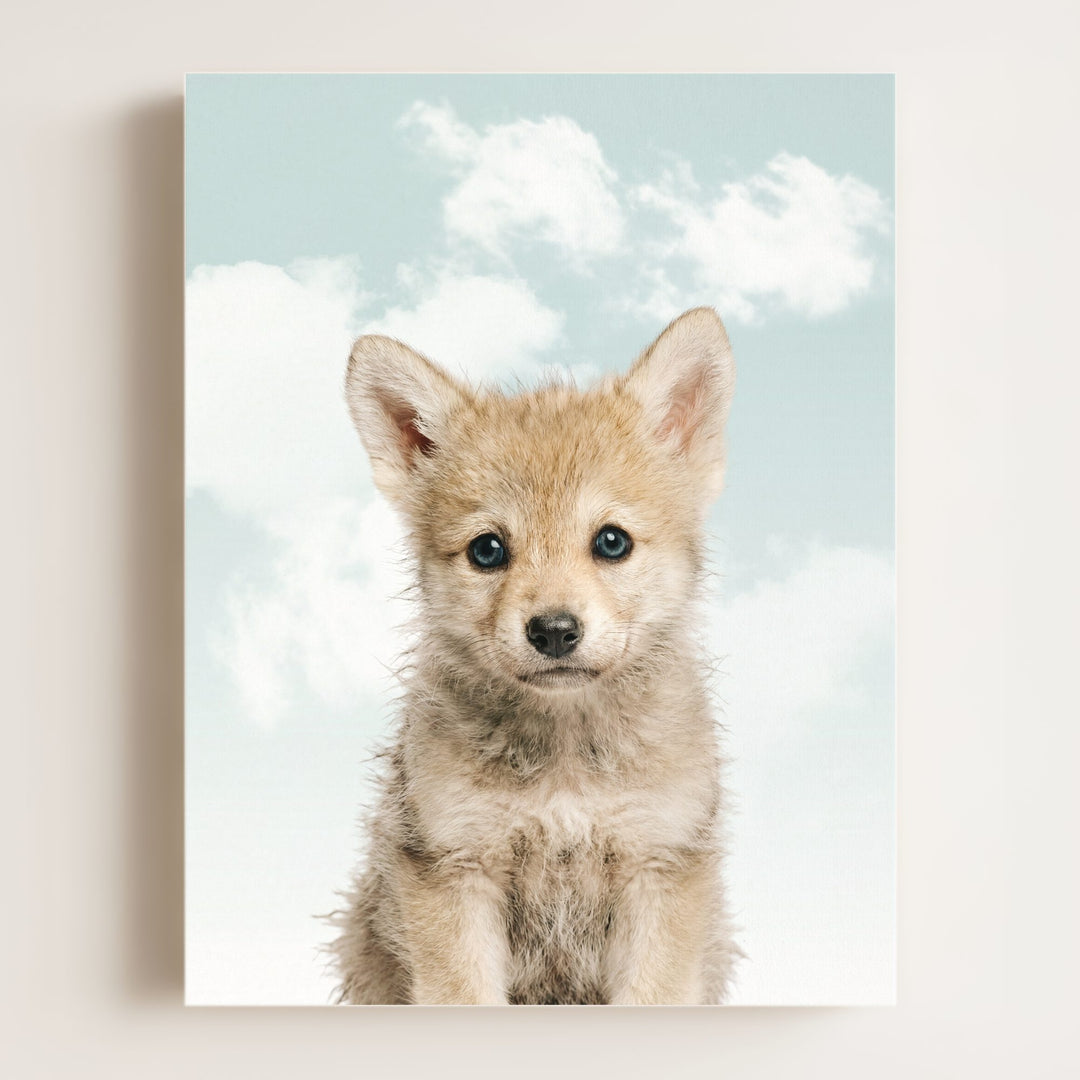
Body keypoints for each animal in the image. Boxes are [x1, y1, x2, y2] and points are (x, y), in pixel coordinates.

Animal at [330, 307, 739, 1004]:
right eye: (487, 550)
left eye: (611, 541)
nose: (553, 631)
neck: (565, 767)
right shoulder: (455, 870)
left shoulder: (659, 867)